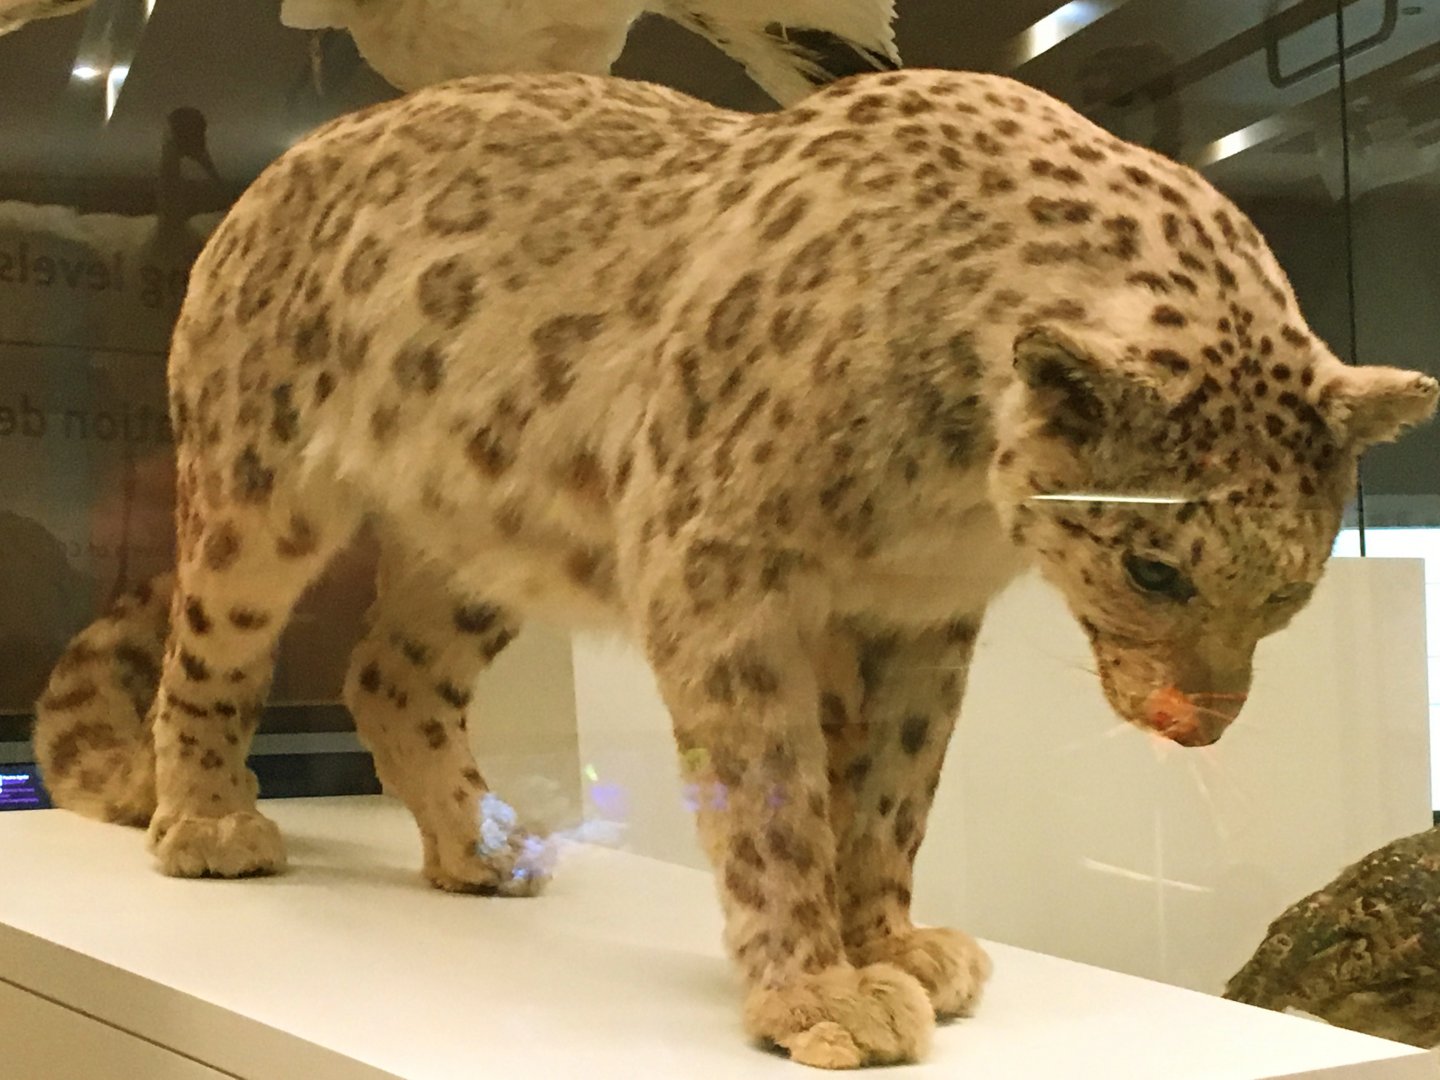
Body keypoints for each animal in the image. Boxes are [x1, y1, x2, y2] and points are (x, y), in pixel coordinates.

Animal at [32, 68, 1437, 1069]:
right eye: (1154, 570)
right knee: (209, 648)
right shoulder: (724, 572)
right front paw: (818, 992)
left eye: (1293, 585)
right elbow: (774, 794)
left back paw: (485, 848)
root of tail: (268, 179)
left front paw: (890, 944)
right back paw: (209, 824)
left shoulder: (922, 615)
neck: (946, 503)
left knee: (390, 669)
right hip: (257, 492)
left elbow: (893, 791)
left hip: (475, 549)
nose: (1201, 724)